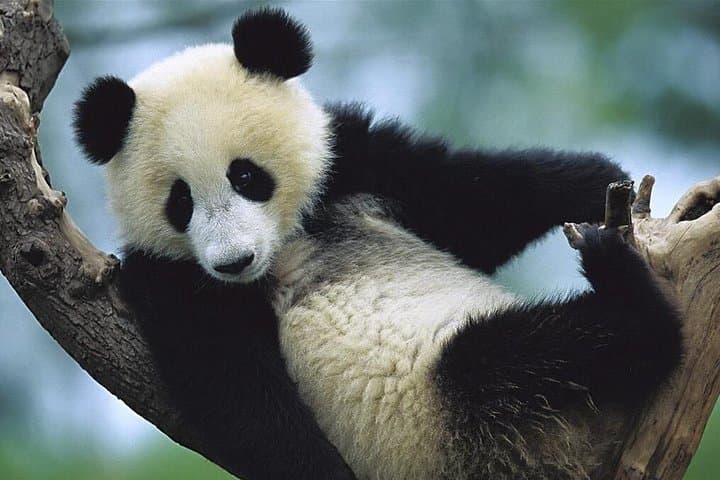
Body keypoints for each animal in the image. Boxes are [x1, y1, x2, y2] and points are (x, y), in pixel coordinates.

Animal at [73, 8, 682, 480]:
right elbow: (239, 392)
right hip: (459, 418)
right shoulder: (172, 281)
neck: (287, 242)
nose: (233, 261)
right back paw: (622, 288)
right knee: (527, 355)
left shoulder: (353, 165)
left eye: (245, 176)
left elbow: (470, 200)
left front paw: (599, 181)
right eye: (181, 202)